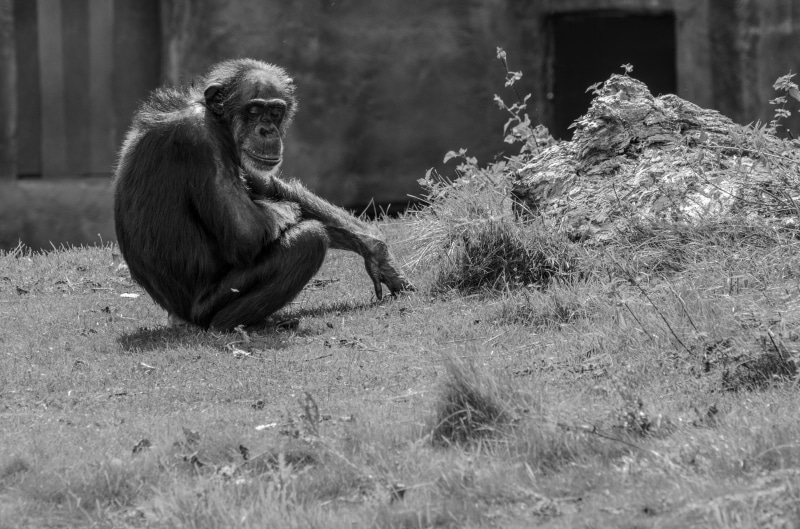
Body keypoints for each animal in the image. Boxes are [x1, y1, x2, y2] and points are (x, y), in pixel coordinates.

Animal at [113, 58, 413, 331]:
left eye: (276, 111)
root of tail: (178, 317)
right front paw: (285, 212)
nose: (267, 130)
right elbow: (246, 232)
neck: (218, 122)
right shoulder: (200, 139)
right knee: (309, 238)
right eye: (255, 109)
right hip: (208, 305)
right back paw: (236, 324)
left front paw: (377, 251)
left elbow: (266, 184)